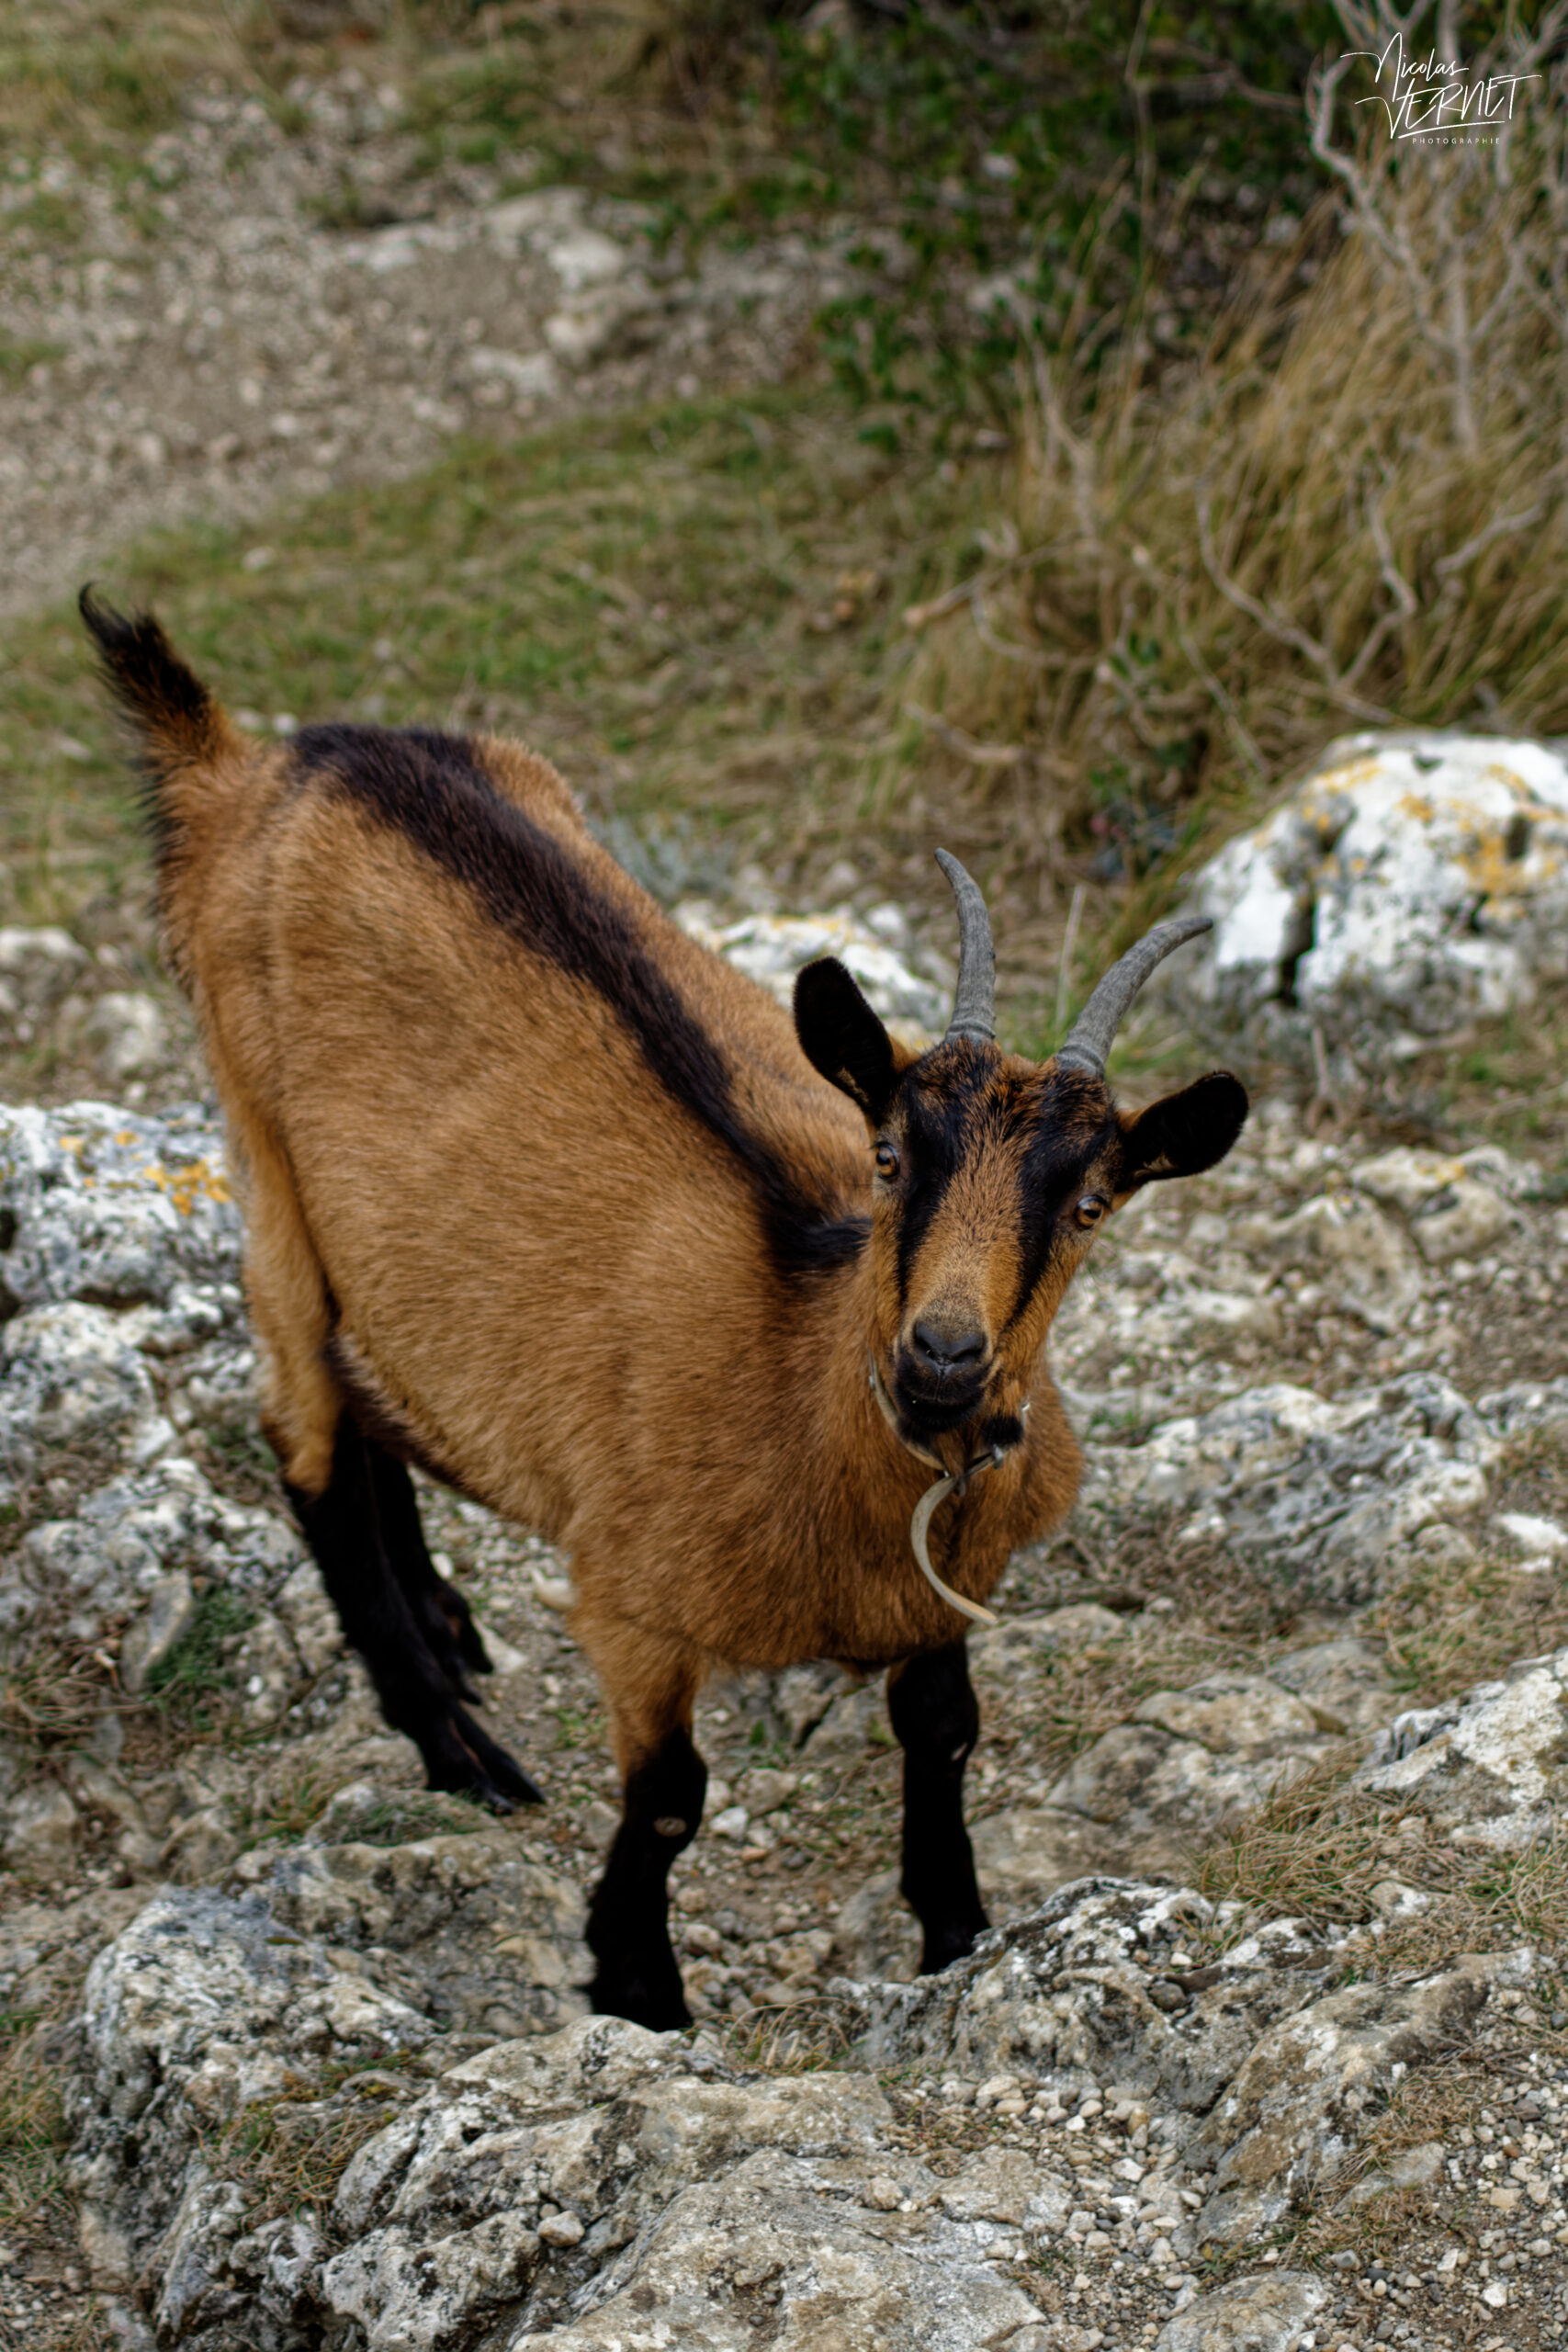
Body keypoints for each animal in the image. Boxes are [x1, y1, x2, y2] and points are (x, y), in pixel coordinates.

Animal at [81, 588, 1247, 2029]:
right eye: (888, 1155)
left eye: (1091, 1204)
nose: (942, 1353)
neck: (803, 1368)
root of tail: (250, 763)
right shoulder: (629, 1603)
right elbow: (674, 1797)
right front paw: (635, 1983)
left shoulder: (945, 1600)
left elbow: (943, 1738)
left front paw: (956, 1932)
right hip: (262, 1156)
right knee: (305, 1437)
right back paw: (460, 1749)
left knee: (365, 1394)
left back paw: (450, 1636)